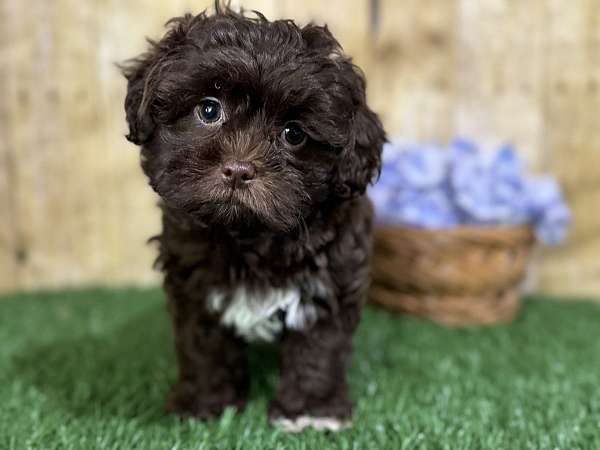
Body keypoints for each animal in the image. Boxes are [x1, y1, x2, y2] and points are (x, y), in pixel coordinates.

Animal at [121, 3, 384, 432]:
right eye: (209, 109)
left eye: (294, 134)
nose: (239, 169)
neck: (249, 236)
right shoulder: (195, 285)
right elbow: (203, 347)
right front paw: (204, 402)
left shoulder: (330, 278)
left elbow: (318, 350)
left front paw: (310, 411)